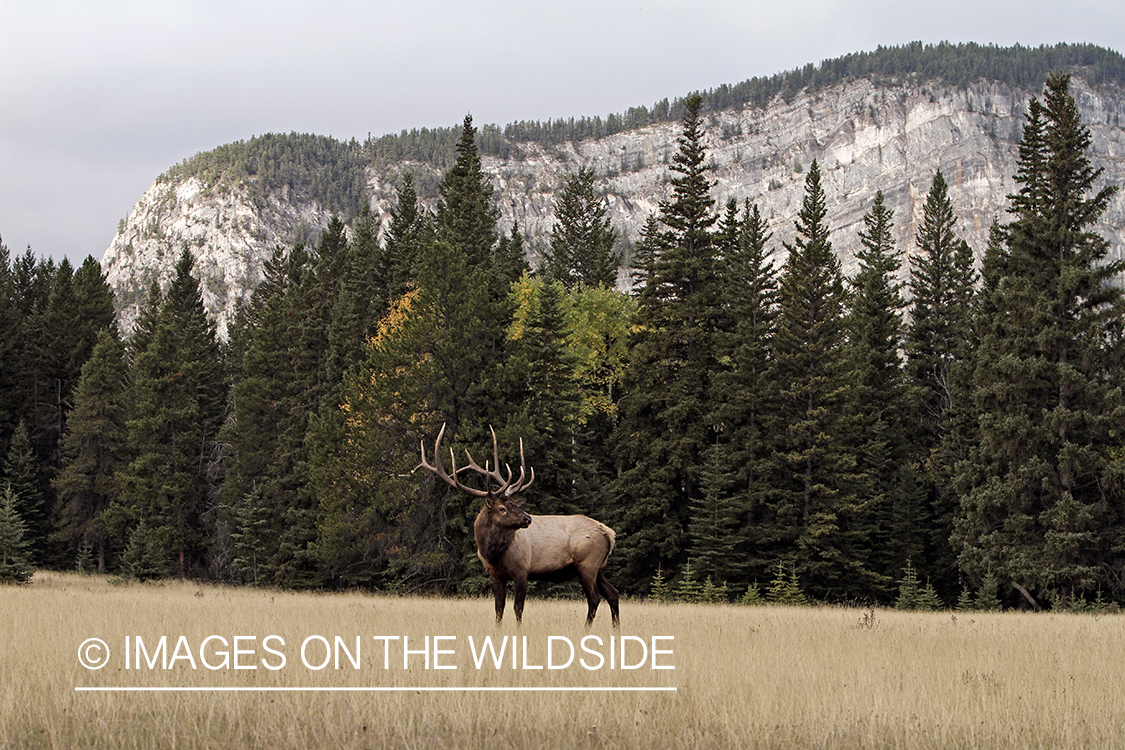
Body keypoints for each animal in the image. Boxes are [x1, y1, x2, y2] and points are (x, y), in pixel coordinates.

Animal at [417, 424, 620, 627]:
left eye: (514, 503)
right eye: (502, 508)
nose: (527, 518)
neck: (493, 553)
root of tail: (609, 533)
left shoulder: (522, 570)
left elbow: (518, 607)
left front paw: (518, 630)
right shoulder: (496, 575)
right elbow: (499, 608)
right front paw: (497, 630)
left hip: (587, 563)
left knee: (594, 598)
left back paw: (586, 629)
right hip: (600, 567)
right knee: (613, 593)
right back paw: (616, 628)